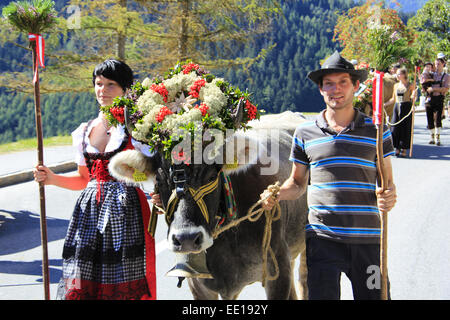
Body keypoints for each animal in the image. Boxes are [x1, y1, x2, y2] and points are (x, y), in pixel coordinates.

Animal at [104, 63, 312, 300]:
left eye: (212, 175)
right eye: (159, 179)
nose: (186, 238)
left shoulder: (278, 270)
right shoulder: (198, 283)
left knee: (304, 280)